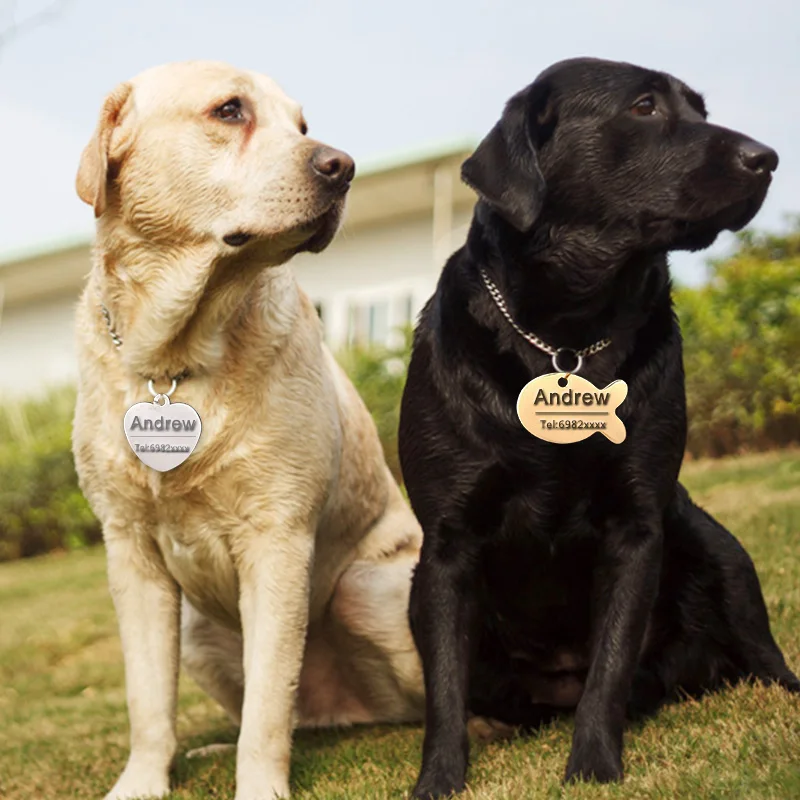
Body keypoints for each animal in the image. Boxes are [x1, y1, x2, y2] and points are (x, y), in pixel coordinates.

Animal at [73, 62, 424, 800]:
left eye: (302, 123)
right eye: (229, 110)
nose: (343, 166)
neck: (173, 359)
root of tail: (350, 714)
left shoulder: (278, 538)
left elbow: (267, 706)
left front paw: (259, 785)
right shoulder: (130, 551)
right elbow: (149, 702)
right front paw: (143, 780)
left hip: (368, 589)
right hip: (200, 630)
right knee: (298, 714)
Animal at [400, 59, 800, 796]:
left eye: (700, 109)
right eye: (643, 106)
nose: (767, 158)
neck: (567, 334)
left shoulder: (638, 524)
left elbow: (610, 666)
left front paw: (592, 766)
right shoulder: (446, 543)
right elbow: (444, 686)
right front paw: (439, 780)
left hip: (717, 544)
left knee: (756, 649)